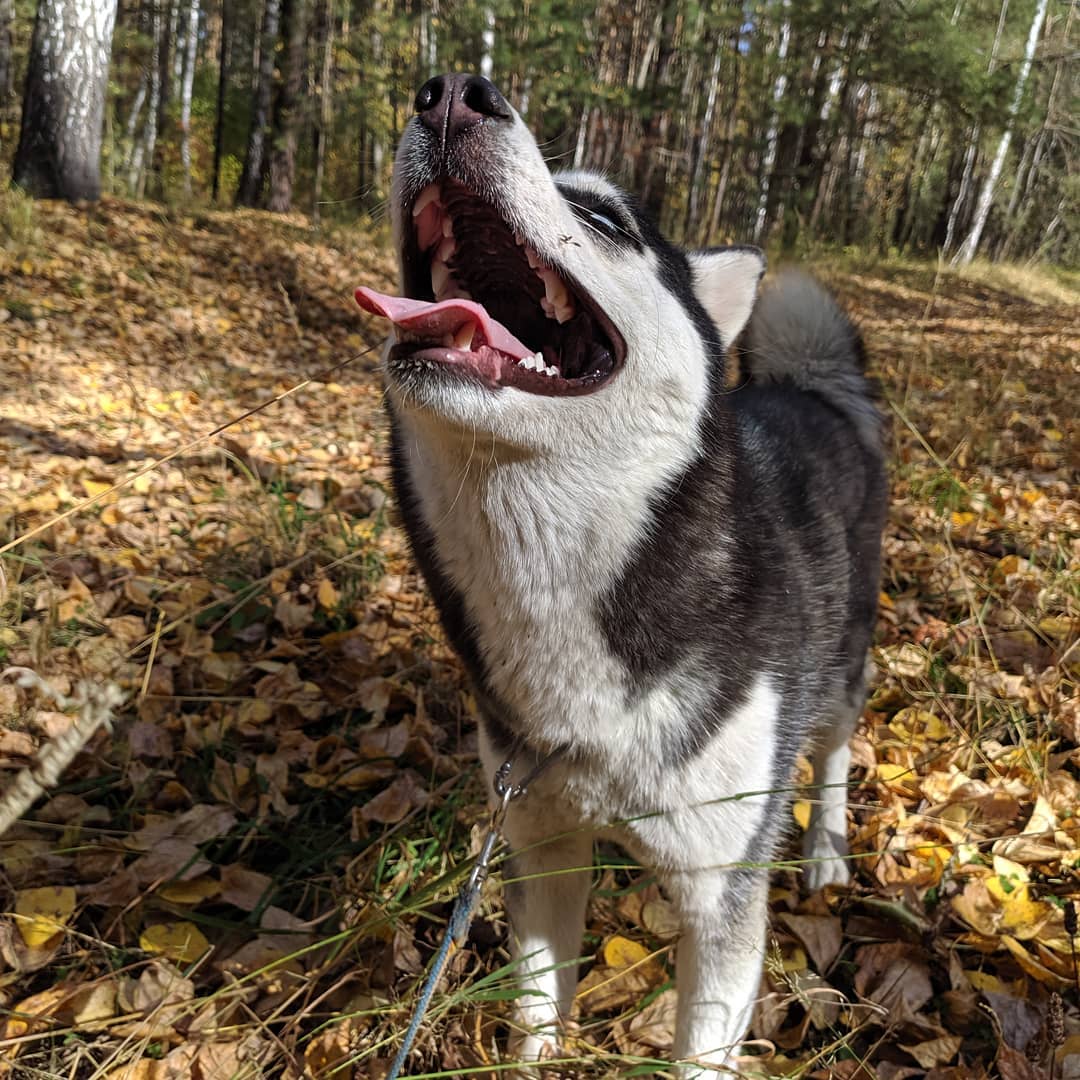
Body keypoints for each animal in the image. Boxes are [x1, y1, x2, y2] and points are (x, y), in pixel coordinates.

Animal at [358, 73, 881, 1071]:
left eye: (604, 217)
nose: (452, 94)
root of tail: (804, 388)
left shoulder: (722, 894)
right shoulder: (538, 843)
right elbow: (535, 1015)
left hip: (841, 670)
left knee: (834, 747)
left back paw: (829, 848)